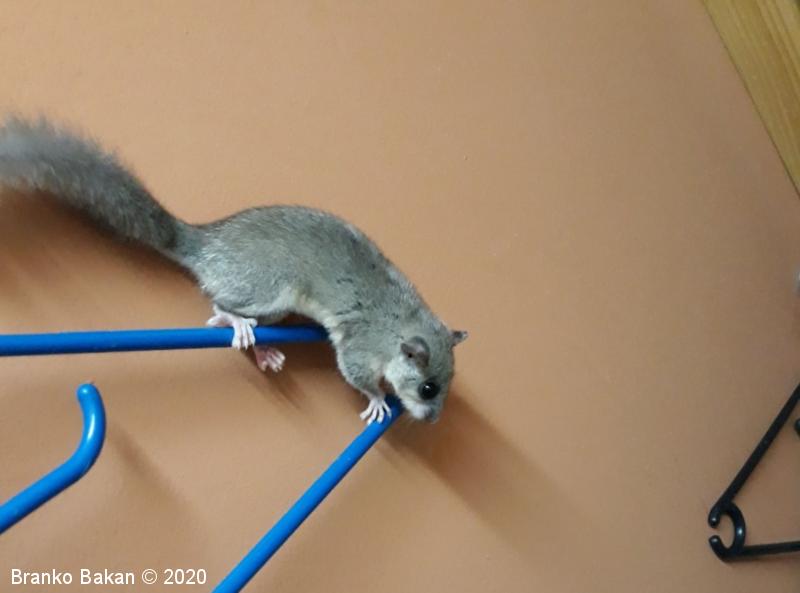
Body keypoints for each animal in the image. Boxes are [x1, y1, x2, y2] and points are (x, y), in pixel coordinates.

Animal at [0, 116, 467, 423]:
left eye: (445, 384)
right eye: (428, 388)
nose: (432, 421)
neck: (402, 324)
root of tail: (205, 245)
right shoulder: (361, 348)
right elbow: (356, 375)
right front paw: (377, 400)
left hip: (275, 304)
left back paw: (263, 349)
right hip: (269, 287)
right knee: (217, 303)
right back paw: (235, 323)